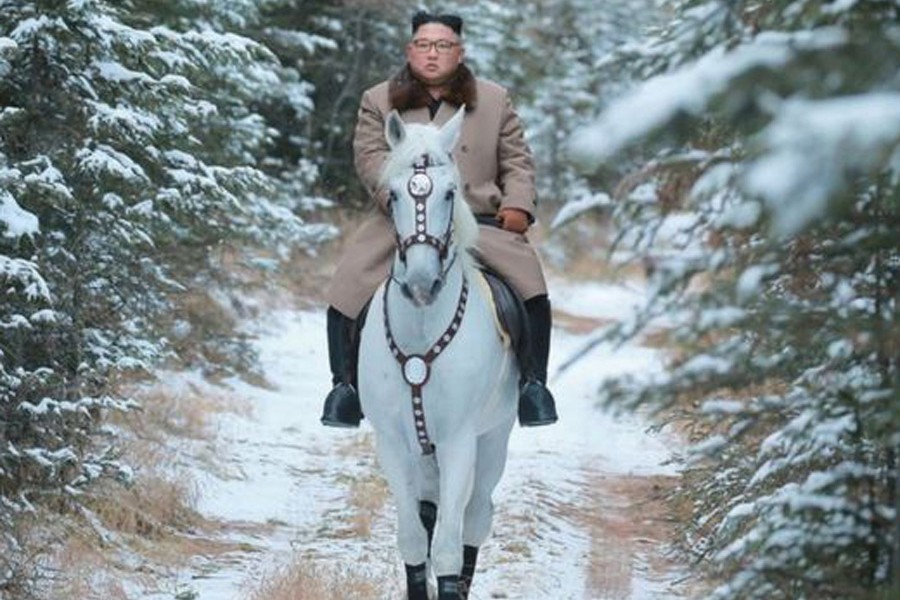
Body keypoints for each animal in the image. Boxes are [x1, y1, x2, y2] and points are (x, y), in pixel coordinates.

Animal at [356, 109, 516, 600]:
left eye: (450, 193)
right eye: (392, 196)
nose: (422, 284)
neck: (421, 333)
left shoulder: (459, 440)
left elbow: (447, 547)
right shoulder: (391, 441)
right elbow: (413, 537)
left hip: (494, 437)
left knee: (475, 518)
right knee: (428, 511)